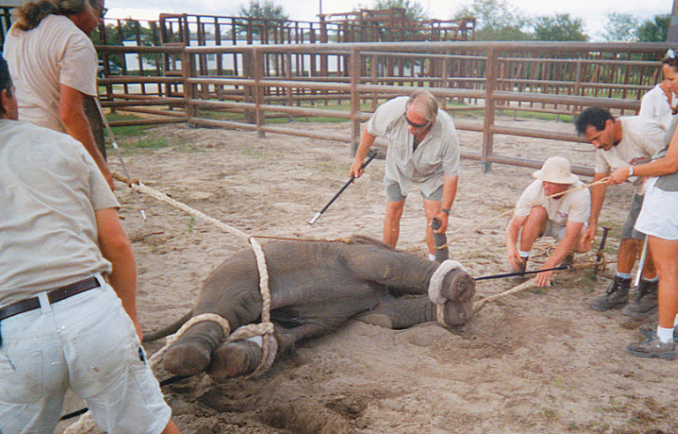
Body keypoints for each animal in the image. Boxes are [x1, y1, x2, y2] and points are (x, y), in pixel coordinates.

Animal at [151, 236, 476, 382]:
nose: (466, 287)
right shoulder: (359, 254)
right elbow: (388, 266)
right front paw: (461, 285)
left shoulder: (373, 303)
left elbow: (388, 314)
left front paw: (457, 311)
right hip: (234, 277)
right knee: (221, 312)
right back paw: (187, 357)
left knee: (278, 336)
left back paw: (232, 361)